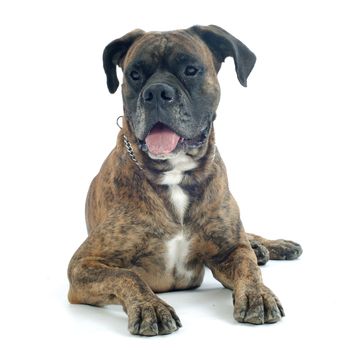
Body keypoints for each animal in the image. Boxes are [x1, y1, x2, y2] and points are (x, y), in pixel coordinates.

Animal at [67, 24, 300, 336]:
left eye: (191, 70)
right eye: (134, 74)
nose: (156, 91)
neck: (175, 174)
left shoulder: (230, 250)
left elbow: (248, 266)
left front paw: (257, 294)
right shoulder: (83, 265)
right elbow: (127, 276)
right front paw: (150, 307)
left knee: (248, 239)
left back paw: (272, 245)